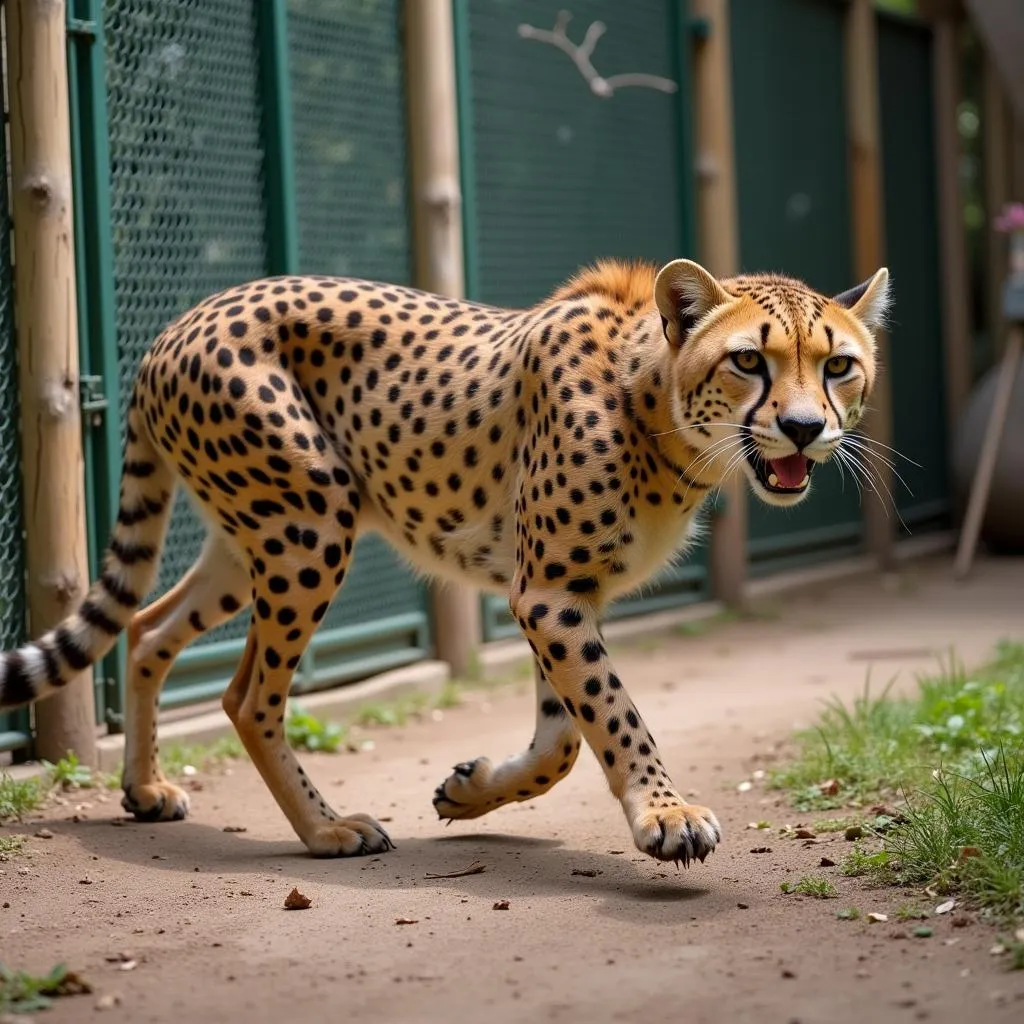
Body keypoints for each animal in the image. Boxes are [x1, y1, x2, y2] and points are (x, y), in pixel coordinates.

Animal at [0, 258, 888, 864]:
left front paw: (470, 791)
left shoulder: (562, 593)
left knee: (149, 630)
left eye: (838, 366)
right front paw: (665, 816)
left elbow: (563, 740)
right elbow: (612, 715)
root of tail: (183, 321)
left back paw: (145, 788)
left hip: (248, 534)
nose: (805, 428)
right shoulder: (549, 591)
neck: (655, 407)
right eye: (748, 360)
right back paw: (327, 828)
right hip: (309, 523)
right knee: (248, 695)